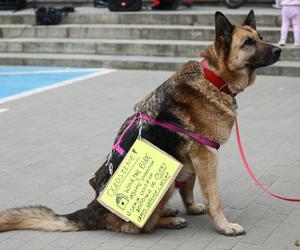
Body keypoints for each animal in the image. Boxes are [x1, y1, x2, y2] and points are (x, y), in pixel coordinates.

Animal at [0, 10, 282, 236]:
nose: (279, 49)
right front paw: (224, 226)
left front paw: (191, 207)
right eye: (248, 42)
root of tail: (93, 209)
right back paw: (169, 220)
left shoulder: (193, 158)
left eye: (260, 36)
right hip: (166, 180)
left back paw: (169, 213)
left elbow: (189, 188)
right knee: (142, 228)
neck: (214, 79)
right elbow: (215, 198)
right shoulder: (206, 156)